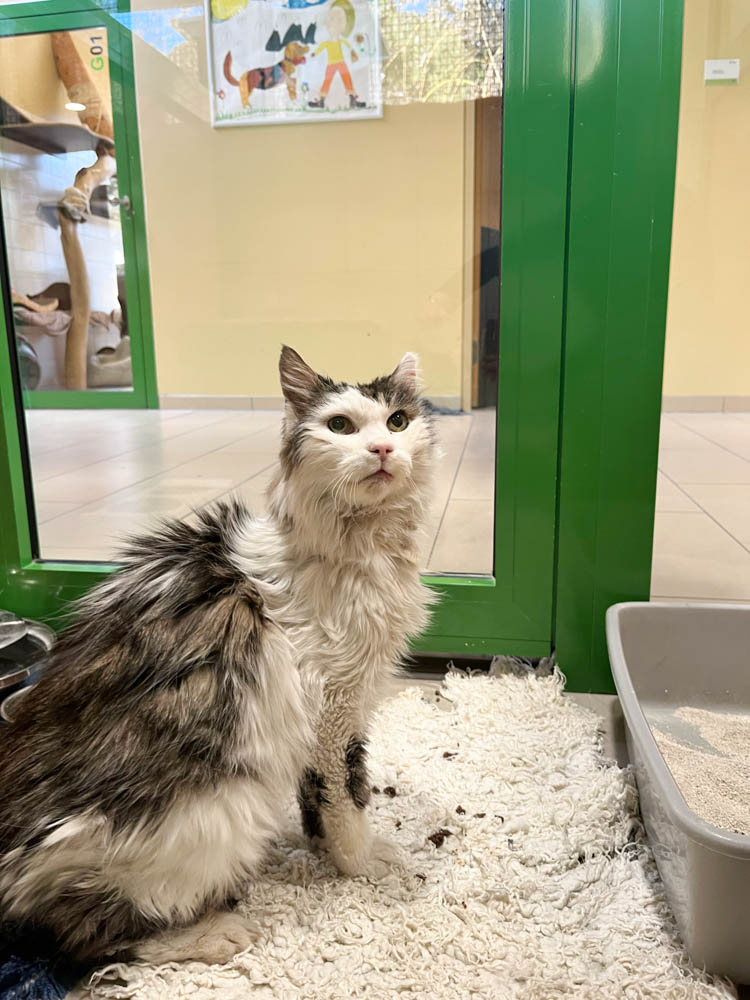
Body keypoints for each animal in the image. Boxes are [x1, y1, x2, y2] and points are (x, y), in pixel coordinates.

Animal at [0, 346, 437, 969]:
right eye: (341, 426)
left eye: (398, 421)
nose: (381, 449)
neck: (363, 548)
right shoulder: (334, 710)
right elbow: (347, 796)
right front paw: (360, 861)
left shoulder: (316, 723)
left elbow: (316, 797)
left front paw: (319, 849)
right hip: (217, 814)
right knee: (89, 937)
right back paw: (214, 933)